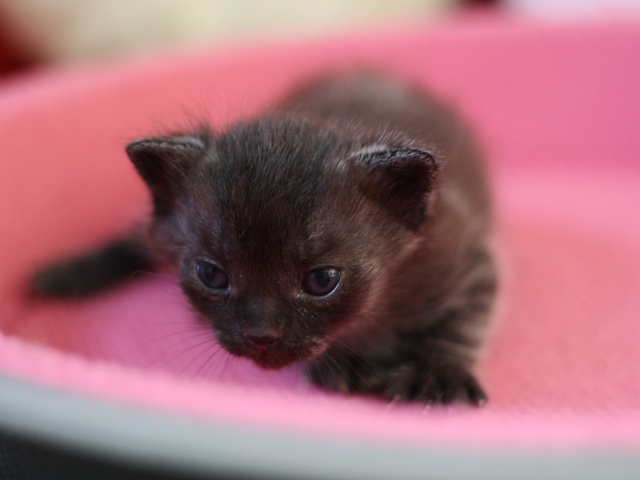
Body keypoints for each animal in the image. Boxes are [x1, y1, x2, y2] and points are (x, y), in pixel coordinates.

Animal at [32, 74, 498, 404]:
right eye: (212, 275)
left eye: (322, 280)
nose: (260, 334)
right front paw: (345, 359)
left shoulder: (467, 256)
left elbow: (461, 322)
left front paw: (436, 371)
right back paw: (63, 276)